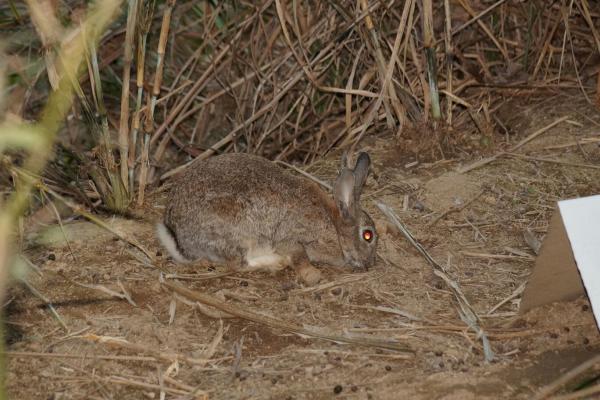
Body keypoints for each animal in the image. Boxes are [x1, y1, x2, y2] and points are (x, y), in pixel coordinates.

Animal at [157, 151, 378, 284]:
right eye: (367, 235)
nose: (370, 264)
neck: (335, 227)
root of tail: (179, 238)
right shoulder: (295, 238)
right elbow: (300, 256)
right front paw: (314, 275)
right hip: (239, 234)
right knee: (238, 264)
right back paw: (275, 262)